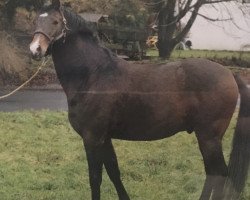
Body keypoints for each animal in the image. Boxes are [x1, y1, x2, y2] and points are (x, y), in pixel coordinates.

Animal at [29, 0, 250, 199]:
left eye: (56, 22)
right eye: (37, 21)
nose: (35, 50)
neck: (94, 74)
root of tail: (229, 73)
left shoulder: (92, 138)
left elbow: (95, 178)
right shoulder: (105, 138)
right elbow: (114, 172)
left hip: (209, 137)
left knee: (219, 174)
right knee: (213, 173)